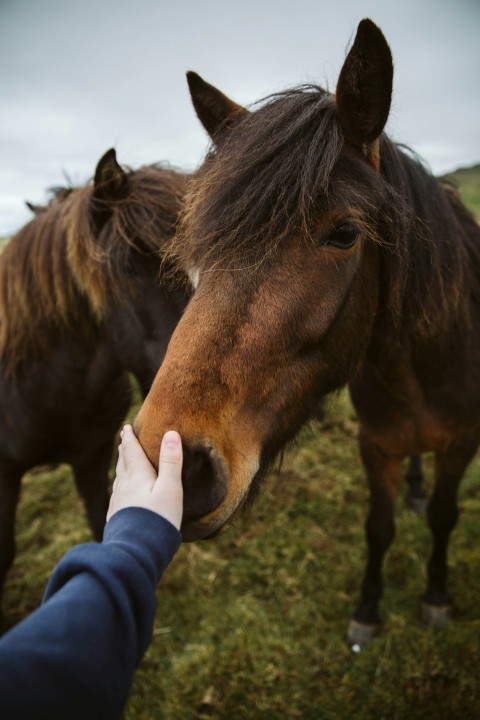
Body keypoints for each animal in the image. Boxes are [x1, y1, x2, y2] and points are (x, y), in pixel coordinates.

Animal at [134, 18, 480, 645]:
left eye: (344, 233)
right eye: (204, 248)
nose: (175, 466)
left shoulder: (465, 442)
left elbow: (444, 516)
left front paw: (436, 596)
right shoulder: (375, 445)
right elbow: (379, 525)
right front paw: (368, 608)